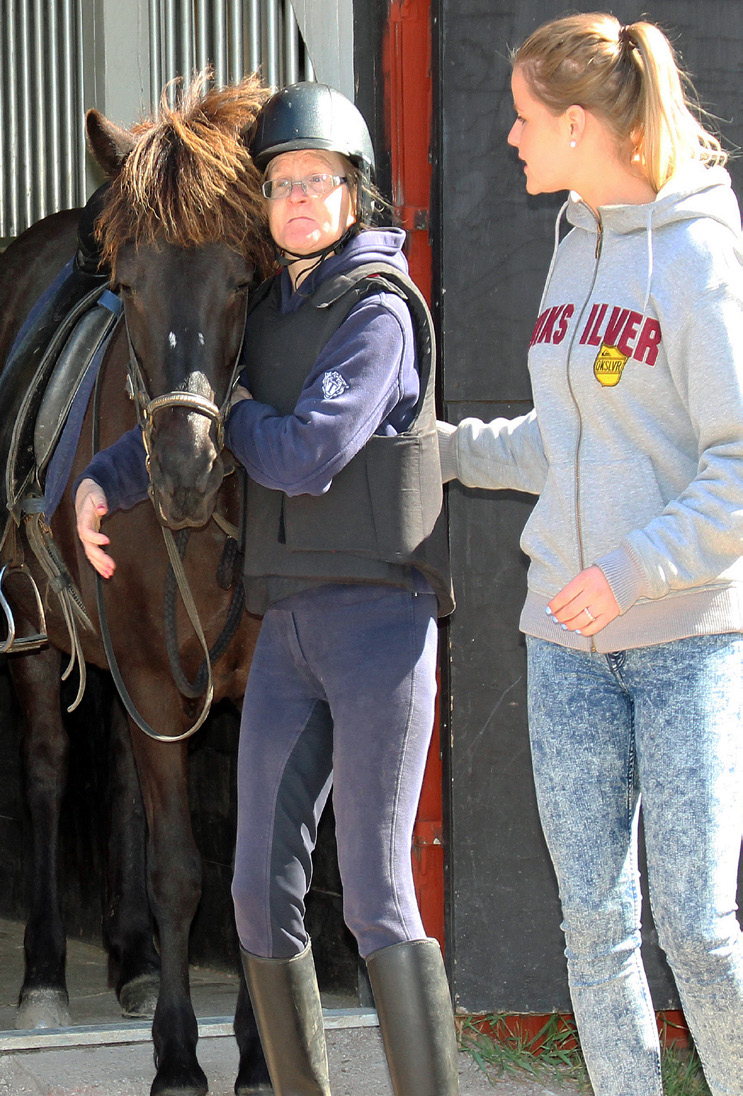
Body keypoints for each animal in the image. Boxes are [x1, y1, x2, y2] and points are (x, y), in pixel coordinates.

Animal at [0, 72, 276, 1091]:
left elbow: (247, 862)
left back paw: (127, 958)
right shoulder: (156, 674)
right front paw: (180, 1061)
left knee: (119, 774)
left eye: (245, 278)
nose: (185, 467)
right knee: (47, 770)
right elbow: (180, 871)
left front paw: (259, 1060)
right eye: (126, 285)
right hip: (42, 638)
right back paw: (46, 973)